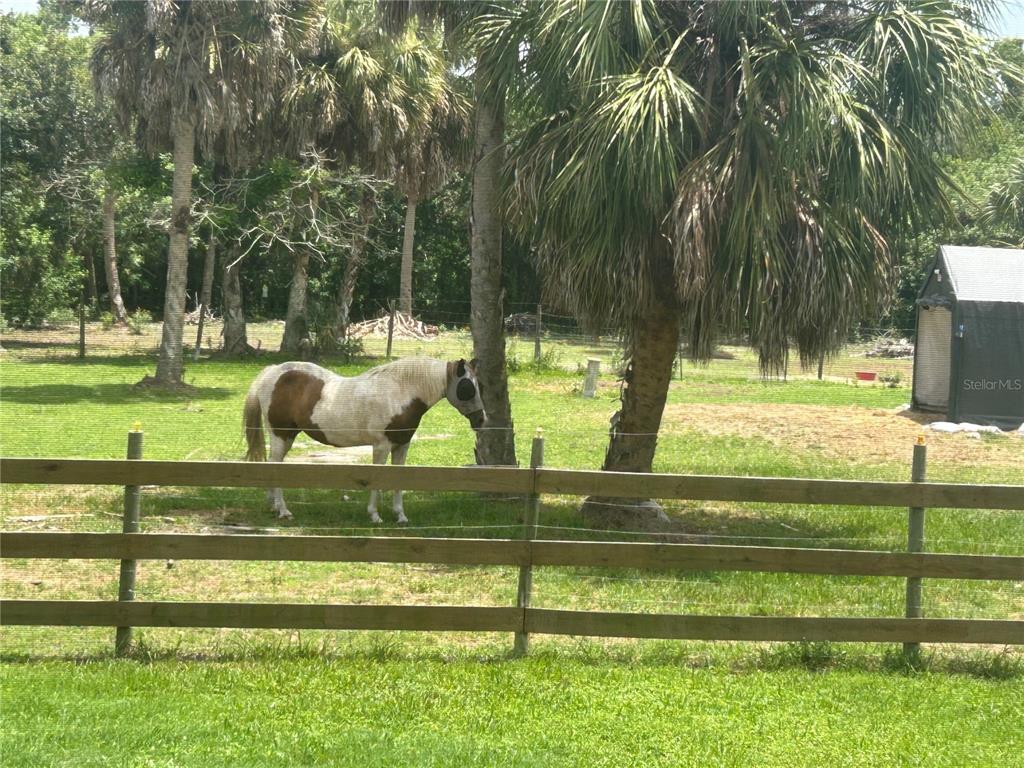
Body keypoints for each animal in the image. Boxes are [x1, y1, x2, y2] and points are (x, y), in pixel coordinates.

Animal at [243, 357, 486, 523]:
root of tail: (273, 371)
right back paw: (283, 511)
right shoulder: (381, 446)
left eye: (479, 385)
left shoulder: (402, 446)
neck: (400, 391)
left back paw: (274, 507)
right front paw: (375, 516)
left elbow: (399, 480)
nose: (481, 419)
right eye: (467, 387)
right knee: (275, 466)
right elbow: (377, 480)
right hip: (281, 435)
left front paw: (400, 516)